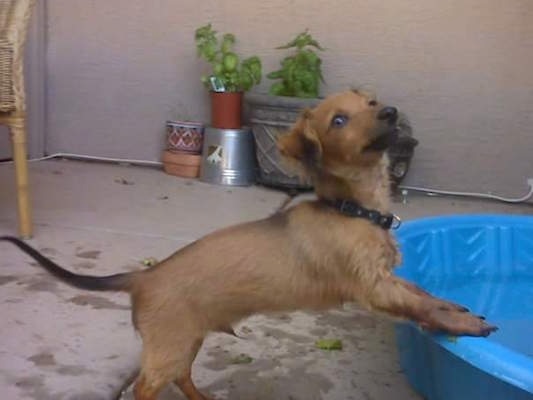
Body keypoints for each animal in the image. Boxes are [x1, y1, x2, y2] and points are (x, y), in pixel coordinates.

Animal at [1, 90, 494, 400]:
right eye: (338, 120)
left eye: (371, 104)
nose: (390, 112)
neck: (352, 209)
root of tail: (142, 276)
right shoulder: (372, 287)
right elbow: (420, 304)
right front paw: (465, 325)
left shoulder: (387, 278)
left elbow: (425, 295)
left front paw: (457, 310)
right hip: (169, 346)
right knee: (145, 386)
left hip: (188, 339)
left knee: (181, 378)